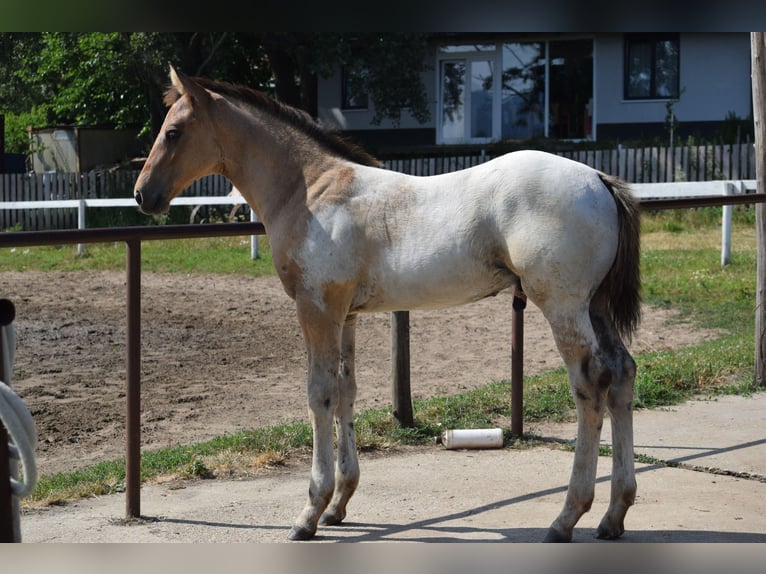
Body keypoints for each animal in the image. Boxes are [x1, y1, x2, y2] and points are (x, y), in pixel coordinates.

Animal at [135, 67, 644, 544]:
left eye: (173, 132)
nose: (143, 195)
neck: (310, 189)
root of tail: (599, 179)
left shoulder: (316, 308)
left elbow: (318, 395)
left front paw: (309, 512)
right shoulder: (346, 315)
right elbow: (346, 391)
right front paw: (339, 504)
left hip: (563, 306)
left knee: (590, 385)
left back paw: (567, 516)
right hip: (595, 307)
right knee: (622, 372)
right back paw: (614, 514)